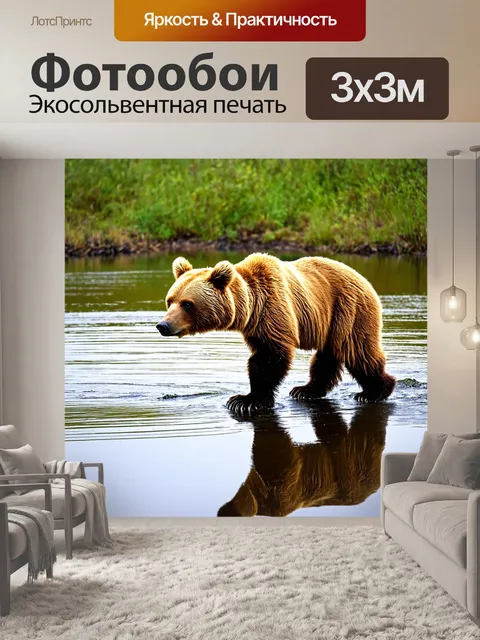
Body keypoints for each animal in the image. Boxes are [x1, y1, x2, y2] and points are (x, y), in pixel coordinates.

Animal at [157, 253, 396, 414]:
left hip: (349, 309)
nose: (163, 325)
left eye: (187, 304)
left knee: (358, 351)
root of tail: (364, 279)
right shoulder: (255, 327)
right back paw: (306, 389)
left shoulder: (273, 310)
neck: (251, 306)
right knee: (327, 356)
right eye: (170, 300)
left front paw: (244, 400)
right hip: (331, 322)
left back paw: (375, 391)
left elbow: (269, 358)